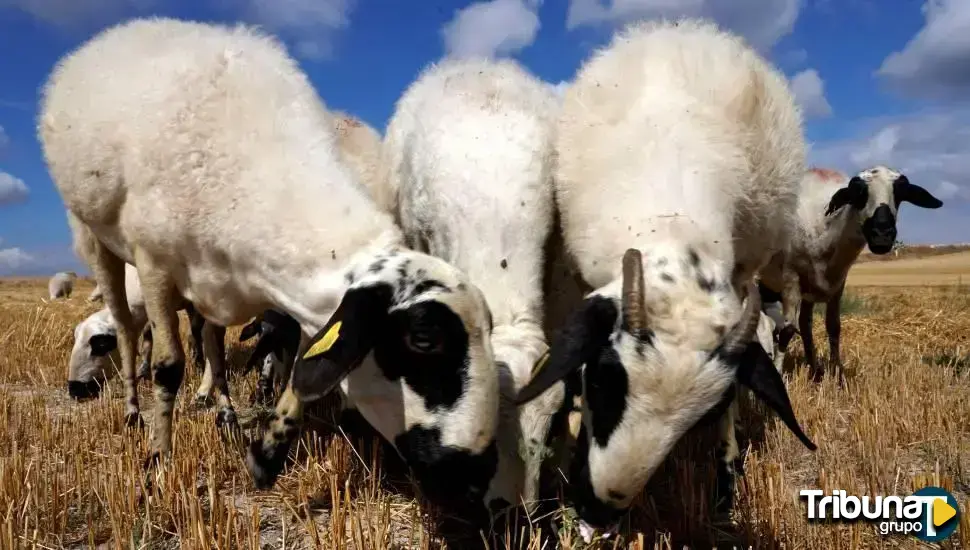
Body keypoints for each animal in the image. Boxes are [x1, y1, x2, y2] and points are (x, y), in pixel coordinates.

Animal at [39, 17, 500, 508]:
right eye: (424, 339)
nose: (477, 477)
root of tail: (129, 27)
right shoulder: (154, 265)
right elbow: (168, 367)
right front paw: (158, 464)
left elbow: (294, 364)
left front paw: (266, 456)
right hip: (96, 238)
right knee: (127, 331)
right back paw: (131, 412)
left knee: (212, 343)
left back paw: (223, 412)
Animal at [752, 166, 940, 382]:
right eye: (858, 193)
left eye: (901, 193)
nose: (882, 236)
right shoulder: (791, 279)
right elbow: (787, 330)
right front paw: (779, 372)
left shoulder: (836, 283)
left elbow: (833, 327)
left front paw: (837, 376)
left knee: (804, 325)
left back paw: (814, 371)